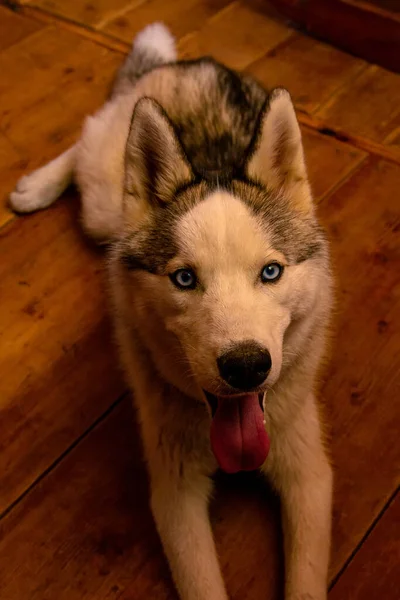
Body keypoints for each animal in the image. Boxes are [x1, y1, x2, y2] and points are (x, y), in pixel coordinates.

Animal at [10, 22, 332, 596]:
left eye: (271, 272)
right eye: (184, 278)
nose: (246, 367)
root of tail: (196, 64)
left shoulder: (309, 478)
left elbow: (307, 581)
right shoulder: (174, 494)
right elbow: (201, 582)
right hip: (102, 203)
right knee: (85, 138)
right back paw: (38, 185)